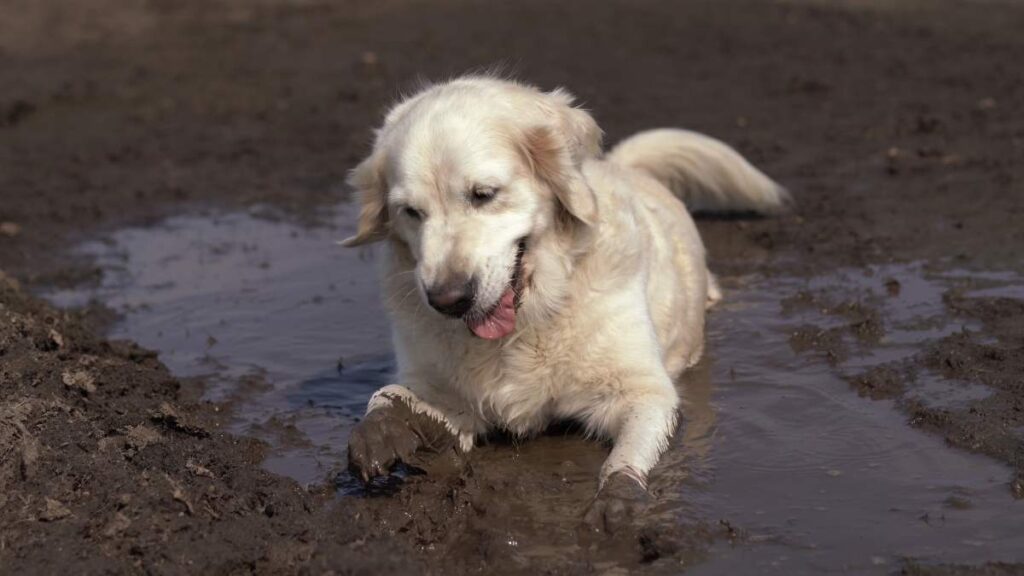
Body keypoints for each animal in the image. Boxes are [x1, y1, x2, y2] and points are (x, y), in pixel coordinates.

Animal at [342, 77, 782, 528]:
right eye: (411, 212)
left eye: (483, 194)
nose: (447, 299)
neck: (529, 319)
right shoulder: (450, 396)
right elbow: (391, 394)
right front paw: (382, 430)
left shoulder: (644, 390)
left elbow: (628, 453)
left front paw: (619, 498)